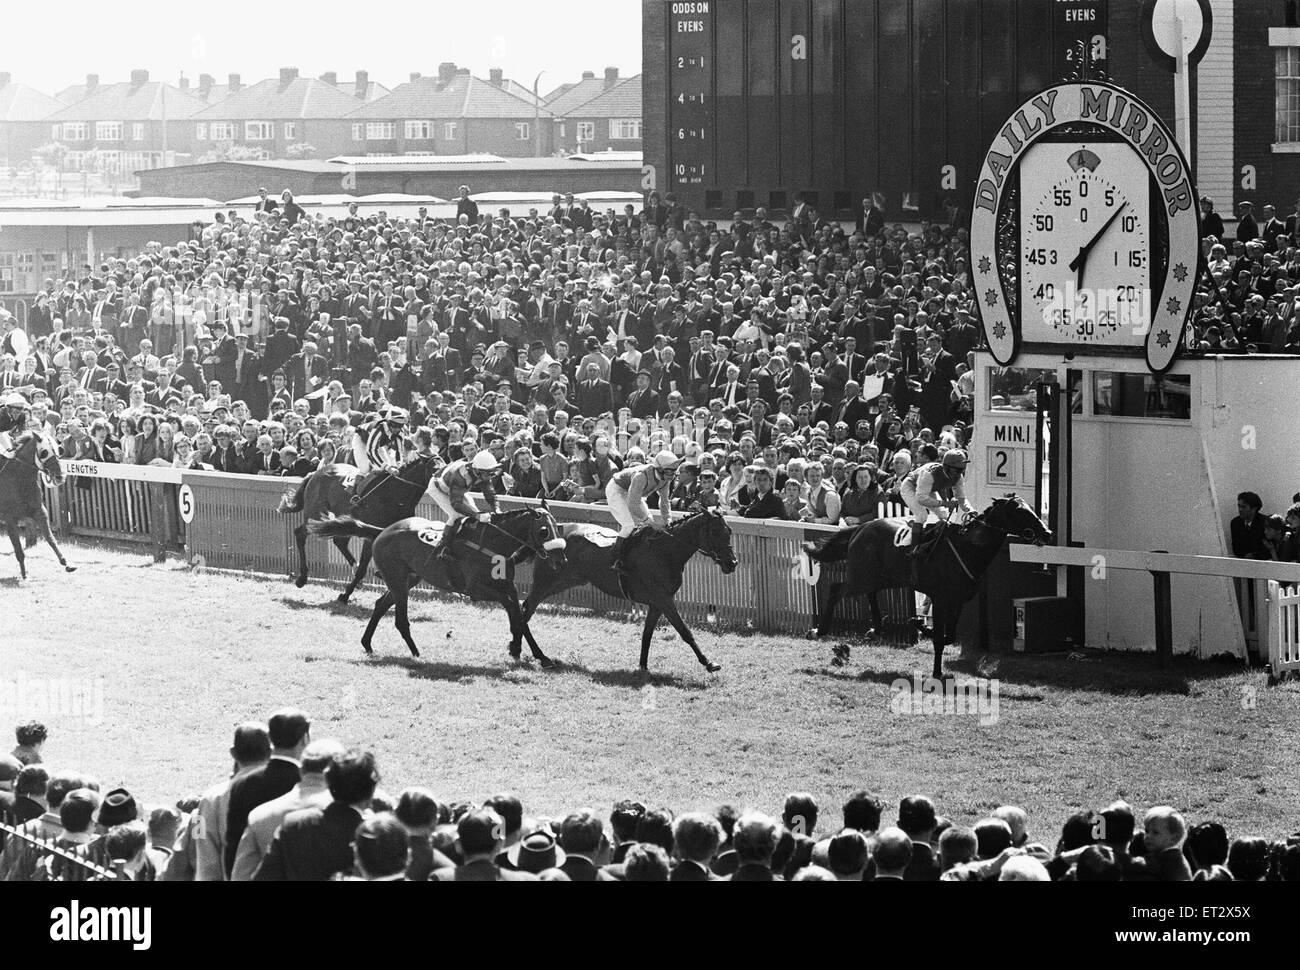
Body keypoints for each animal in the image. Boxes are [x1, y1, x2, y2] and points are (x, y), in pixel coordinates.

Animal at [0, 431, 74, 582]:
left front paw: (66, 563)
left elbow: (51, 539)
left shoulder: (39, 511)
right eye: (44, 452)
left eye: (59, 450)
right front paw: (24, 574)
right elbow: (18, 548)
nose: (60, 477)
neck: (19, 478)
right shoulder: (9, 518)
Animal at [276, 452, 439, 598]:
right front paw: (345, 595)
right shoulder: (370, 534)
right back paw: (302, 578)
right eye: (435, 469)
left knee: (339, 541)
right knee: (300, 533)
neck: (395, 495)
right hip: (315, 513)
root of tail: (315, 473)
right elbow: (363, 569)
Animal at [309, 501, 569, 660]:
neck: (493, 543)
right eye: (544, 531)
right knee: (400, 619)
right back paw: (416, 653)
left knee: (381, 604)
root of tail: (382, 531)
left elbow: (520, 616)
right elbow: (513, 610)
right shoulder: (476, 590)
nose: (561, 560)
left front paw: (538, 655)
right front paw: (517, 647)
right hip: (398, 579)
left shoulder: (508, 587)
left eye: (559, 527)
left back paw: (368, 643)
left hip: (407, 579)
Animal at [520, 507, 743, 670]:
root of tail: (549, 533)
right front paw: (709, 663)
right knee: (525, 610)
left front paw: (643, 666)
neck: (664, 552)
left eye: (729, 531)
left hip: (561, 583)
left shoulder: (657, 603)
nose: (732, 563)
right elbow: (685, 631)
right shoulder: (664, 600)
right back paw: (533, 653)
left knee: (526, 610)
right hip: (545, 582)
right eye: (714, 531)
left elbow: (647, 634)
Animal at [800, 494, 1055, 676]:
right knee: (837, 589)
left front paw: (921, 624)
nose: (1047, 532)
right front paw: (936, 670)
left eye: (1032, 507)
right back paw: (820, 630)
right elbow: (940, 639)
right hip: (860, 577)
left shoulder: (958, 600)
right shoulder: (941, 598)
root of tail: (861, 528)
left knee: (872, 593)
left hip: (881, 577)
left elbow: (949, 636)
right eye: (1020, 511)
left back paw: (875, 629)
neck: (968, 548)